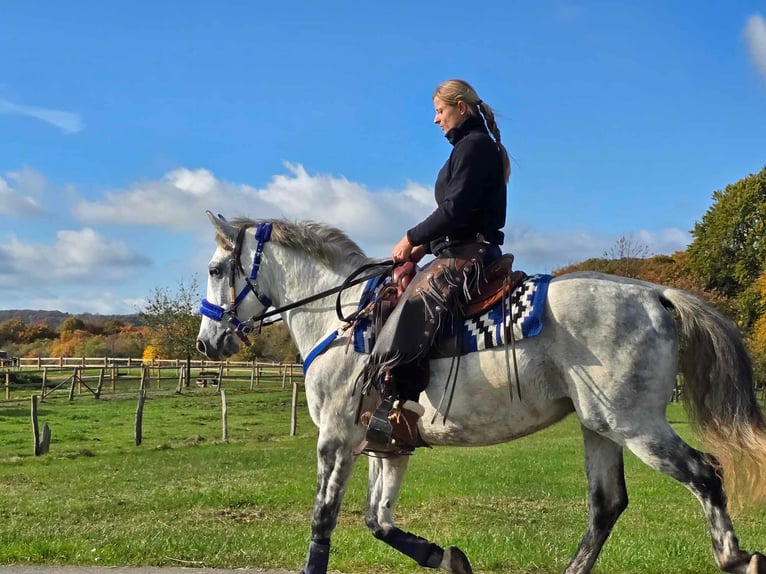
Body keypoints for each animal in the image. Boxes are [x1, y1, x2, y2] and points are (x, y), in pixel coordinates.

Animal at [196, 213, 766, 574]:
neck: (345, 319)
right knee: (606, 505)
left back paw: (737, 558)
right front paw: (449, 558)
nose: (206, 342)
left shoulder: (337, 439)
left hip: (635, 424)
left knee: (704, 474)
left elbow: (324, 520)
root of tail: (656, 294)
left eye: (216, 270)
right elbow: (378, 521)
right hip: (599, 426)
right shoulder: (387, 445)